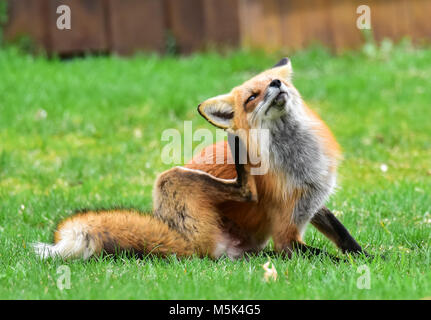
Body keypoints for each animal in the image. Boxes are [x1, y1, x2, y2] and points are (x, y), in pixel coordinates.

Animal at [33, 58, 366, 260]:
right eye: (251, 97)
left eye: (273, 80)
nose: (276, 85)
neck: (299, 159)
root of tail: (177, 235)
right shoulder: (286, 237)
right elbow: (328, 257)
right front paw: (357, 268)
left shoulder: (312, 201)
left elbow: (343, 235)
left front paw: (369, 256)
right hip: (171, 179)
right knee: (245, 190)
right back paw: (239, 153)